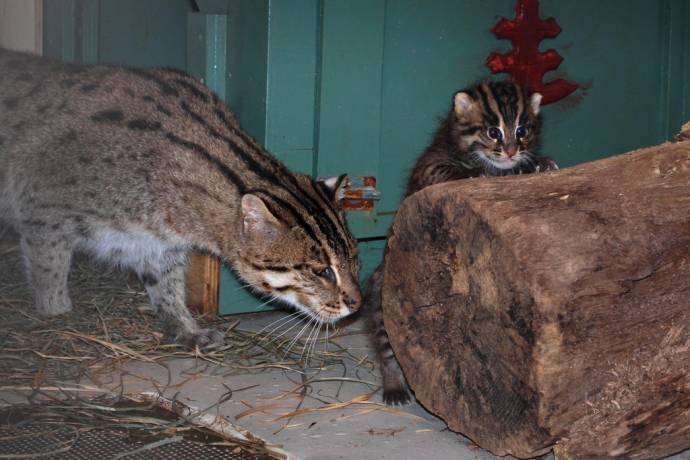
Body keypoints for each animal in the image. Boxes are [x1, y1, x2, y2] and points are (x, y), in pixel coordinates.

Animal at [0, 48, 362, 346]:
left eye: (356, 259)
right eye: (322, 271)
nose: (357, 303)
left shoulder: (157, 244)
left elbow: (167, 285)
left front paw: (185, 328)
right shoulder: (42, 210)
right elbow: (49, 270)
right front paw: (56, 313)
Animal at [368, 81, 556, 404]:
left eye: (522, 131)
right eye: (493, 132)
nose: (510, 151)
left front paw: (538, 164)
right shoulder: (428, 168)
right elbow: (449, 169)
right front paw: (475, 171)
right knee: (386, 345)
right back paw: (394, 385)